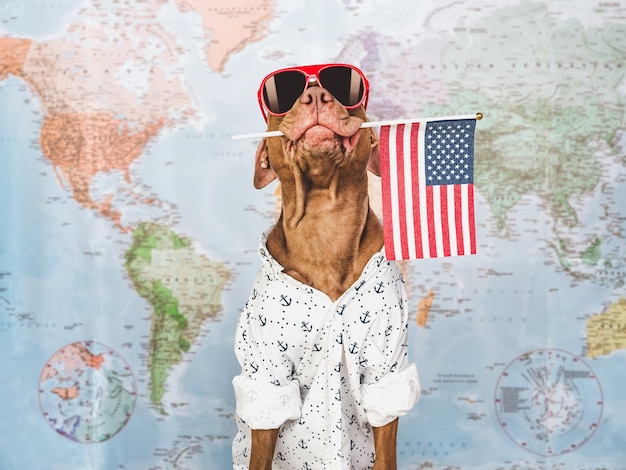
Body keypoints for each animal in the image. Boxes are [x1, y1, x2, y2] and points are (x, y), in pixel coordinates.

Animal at [232, 70, 416, 470]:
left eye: (347, 89)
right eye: (283, 94)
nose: (316, 94)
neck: (323, 224)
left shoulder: (386, 368)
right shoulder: (268, 376)